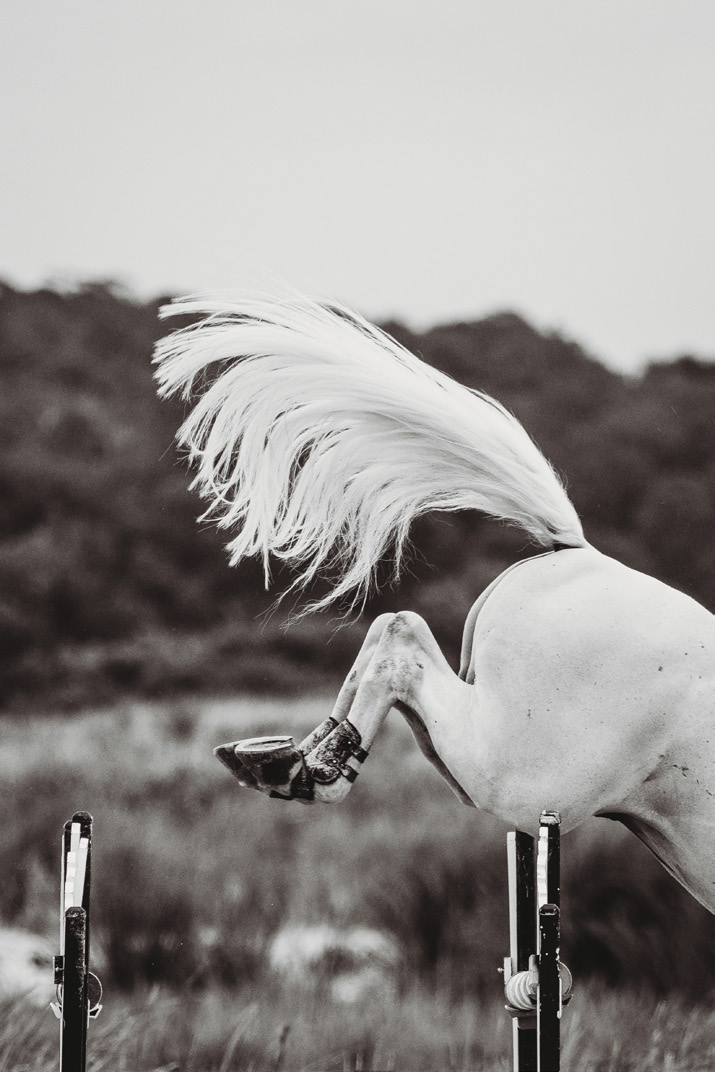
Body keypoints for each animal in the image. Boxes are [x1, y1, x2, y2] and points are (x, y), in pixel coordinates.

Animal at [154, 294, 715, 913]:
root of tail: (580, 553)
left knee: (391, 629)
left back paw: (291, 760)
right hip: (524, 776)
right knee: (401, 644)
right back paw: (310, 770)